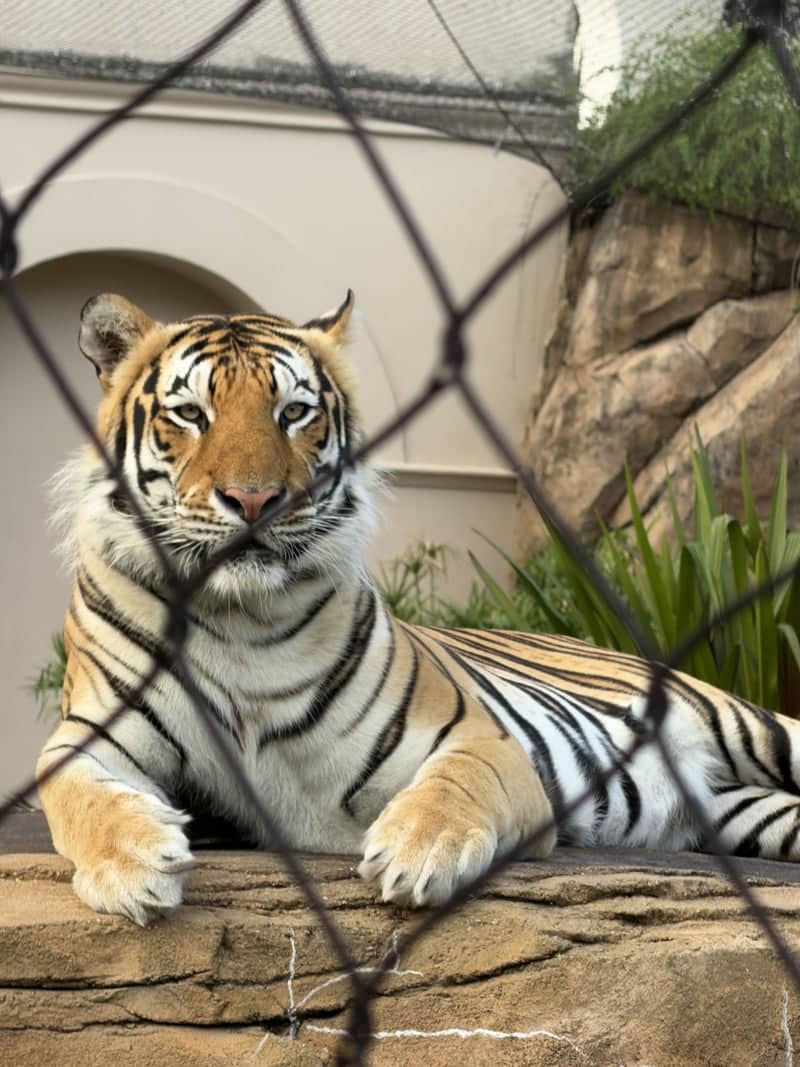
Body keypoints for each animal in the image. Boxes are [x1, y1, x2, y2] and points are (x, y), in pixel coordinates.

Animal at [35, 290, 800, 926]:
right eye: (191, 414)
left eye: (294, 412)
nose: (256, 500)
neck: (240, 616)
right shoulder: (91, 731)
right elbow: (78, 793)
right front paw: (133, 864)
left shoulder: (478, 738)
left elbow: (456, 783)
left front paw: (421, 849)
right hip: (747, 811)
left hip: (752, 725)